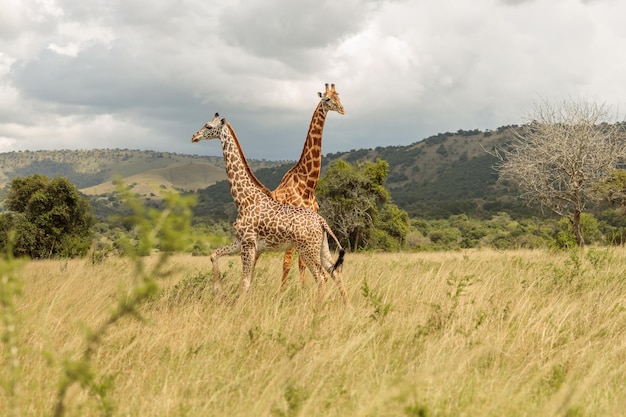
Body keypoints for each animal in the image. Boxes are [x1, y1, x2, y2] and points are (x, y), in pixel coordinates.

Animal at [190, 112, 348, 304]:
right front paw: (219, 293)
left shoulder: (248, 244)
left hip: (307, 249)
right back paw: (348, 307)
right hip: (322, 247)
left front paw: (236, 306)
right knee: (335, 272)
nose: (194, 136)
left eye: (209, 126)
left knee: (322, 278)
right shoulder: (240, 242)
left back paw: (317, 309)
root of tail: (321, 221)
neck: (243, 200)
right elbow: (214, 254)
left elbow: (245, 281)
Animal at [270, 84, 344, 286]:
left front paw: (303, 290)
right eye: (327, 99)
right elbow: (287, 264)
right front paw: (282, 292)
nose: (342, 109)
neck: (307, 185)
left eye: (339, 96)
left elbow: (302, 265)